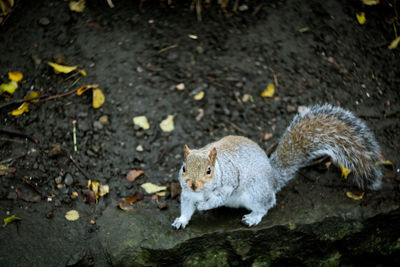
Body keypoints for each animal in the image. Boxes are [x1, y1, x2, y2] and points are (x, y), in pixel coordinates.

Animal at [170, 103, 382, 229]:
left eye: (209, 170)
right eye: (183, 168)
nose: (193, 185)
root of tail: (272, 178)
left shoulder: (230, 182)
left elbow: (218, 198)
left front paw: (204, 205)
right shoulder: (187, 194)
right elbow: (186, 208)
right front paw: (181, 220)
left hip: (255, 192)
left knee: (267, 204)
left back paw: (254, 216)